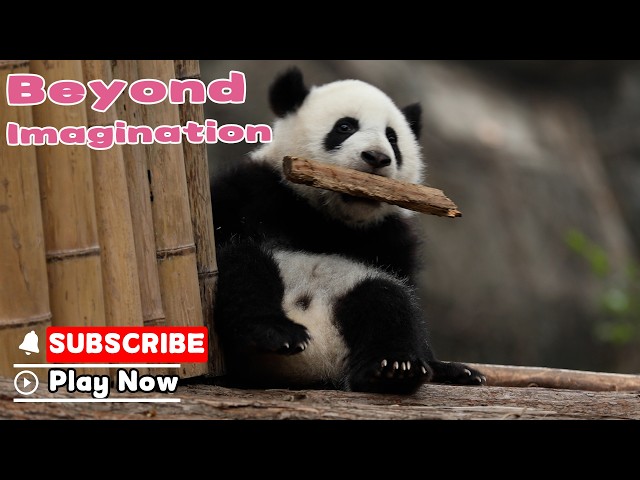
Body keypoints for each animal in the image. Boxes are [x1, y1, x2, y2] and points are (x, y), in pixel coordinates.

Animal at [210, 66, 486, 394]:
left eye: (392, 138)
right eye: (345, 127)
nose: (377, 157)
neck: (328, 217)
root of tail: (316, 362)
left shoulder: (390, 237)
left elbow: (406, 289)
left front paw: (449, 369)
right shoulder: (253, 188)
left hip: (353, 287)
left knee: (386, 299)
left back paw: (393, 370)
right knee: (245, 266)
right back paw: (277, 333)